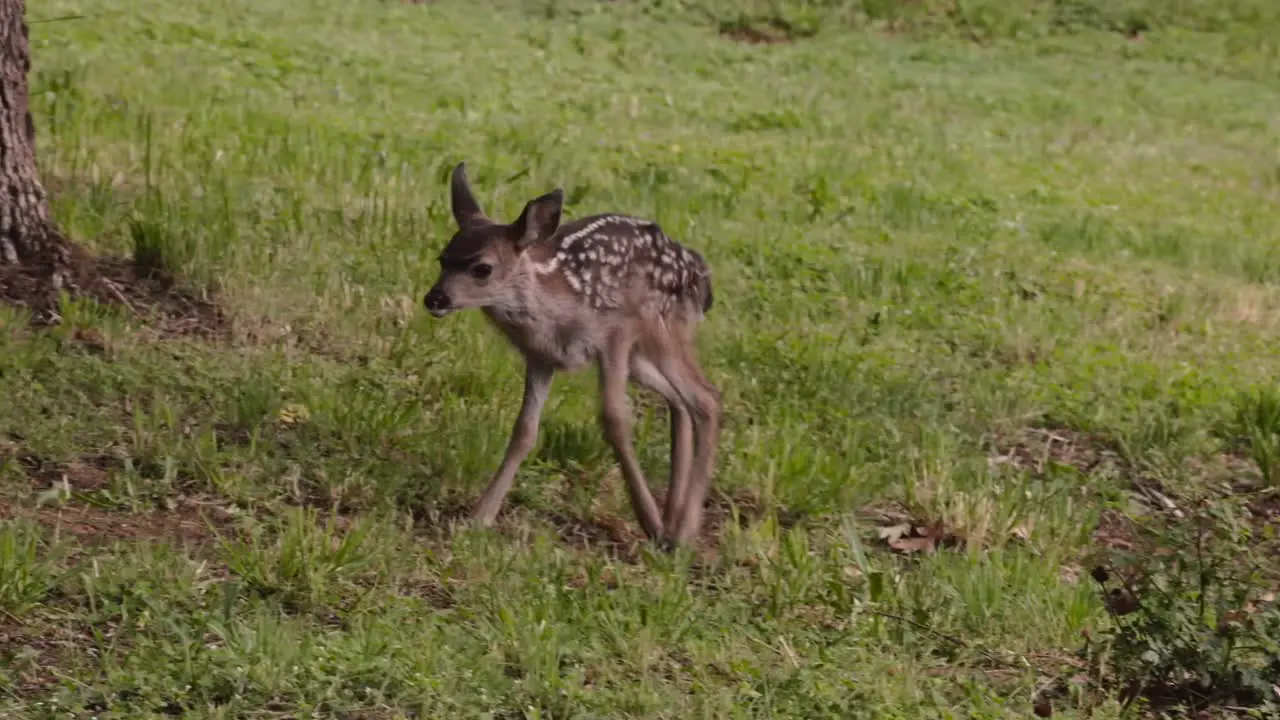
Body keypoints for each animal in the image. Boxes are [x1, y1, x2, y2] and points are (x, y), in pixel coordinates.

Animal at [427, 162, 721, 543]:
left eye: (482, 268)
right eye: (442, 259)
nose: (434, 298)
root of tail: (701, 274)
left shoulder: (616, 333)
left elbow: (614, 418)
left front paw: (650, 524)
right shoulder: (541, 357)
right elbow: (524, 431)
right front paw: (481, 517)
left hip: (665, 330)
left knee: (706, 398)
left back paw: (682, 530)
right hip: (641, 359)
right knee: (680, 401)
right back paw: (673, 515)